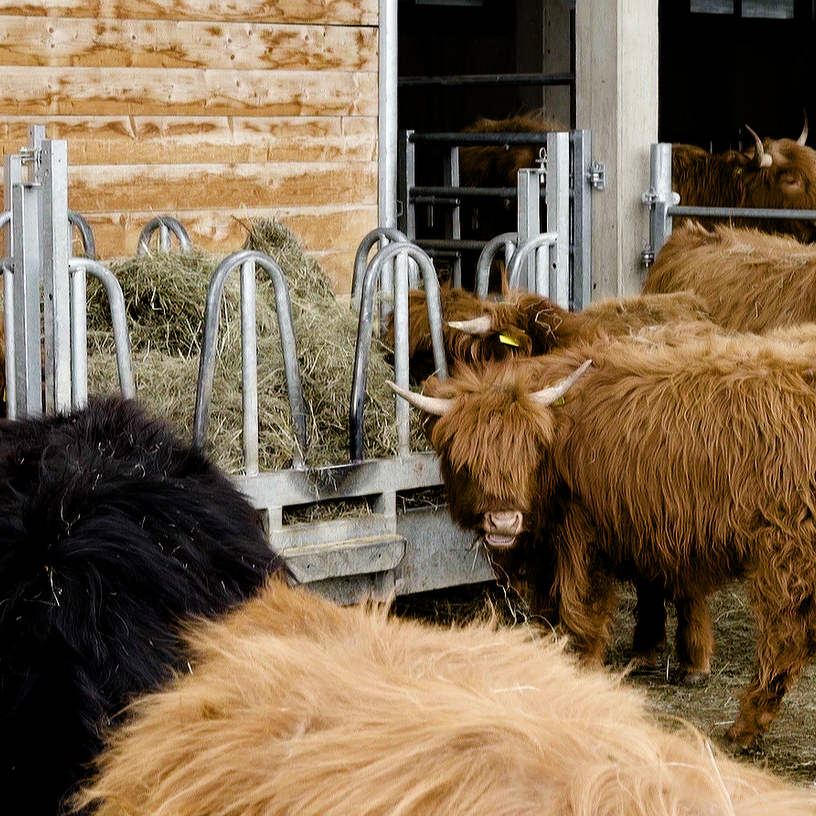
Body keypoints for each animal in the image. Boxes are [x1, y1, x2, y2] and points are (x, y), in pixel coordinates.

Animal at [390, 328, 816, 750]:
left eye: (531, 453)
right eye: (466, 463)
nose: (504, 521)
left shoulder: (584, 537)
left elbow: (582, 609)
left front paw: (584, 673)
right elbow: (550, 613)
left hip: (785, 547)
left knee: (786, 634)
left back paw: (744, 727)